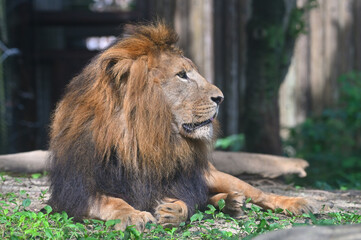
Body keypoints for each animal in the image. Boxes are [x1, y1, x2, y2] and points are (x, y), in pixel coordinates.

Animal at [47, 22, 312, 231]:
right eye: (182, 75)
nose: (221, 98)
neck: (144, 136)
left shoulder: (181, 181)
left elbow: (187, 201)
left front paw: (173, 212)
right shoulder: (75, 191)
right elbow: (112, 201)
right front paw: (133, 215)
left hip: (216, 174)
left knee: (257, 193)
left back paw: (295, 203)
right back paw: (231, 203)